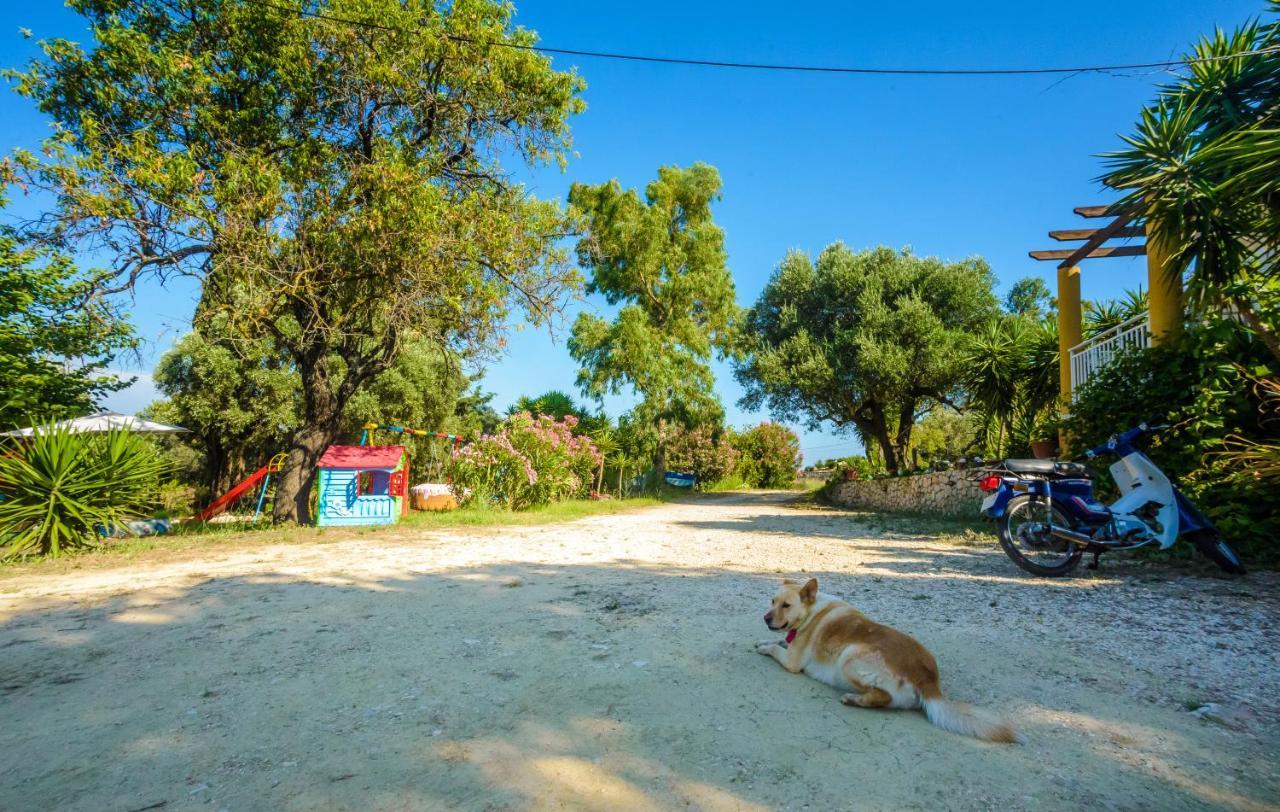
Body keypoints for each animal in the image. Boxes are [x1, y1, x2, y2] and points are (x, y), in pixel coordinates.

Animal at [752, 576, 1013, 737]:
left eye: (786, 605)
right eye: (772, 601)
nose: (765, 618)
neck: (811, 612)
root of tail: (928, 679)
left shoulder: (792, 662)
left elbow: (776, 649)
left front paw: (765, 648)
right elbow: (778, 641)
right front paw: (763, 641)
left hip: (848, 657)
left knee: (884, 697)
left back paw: (853, 699)